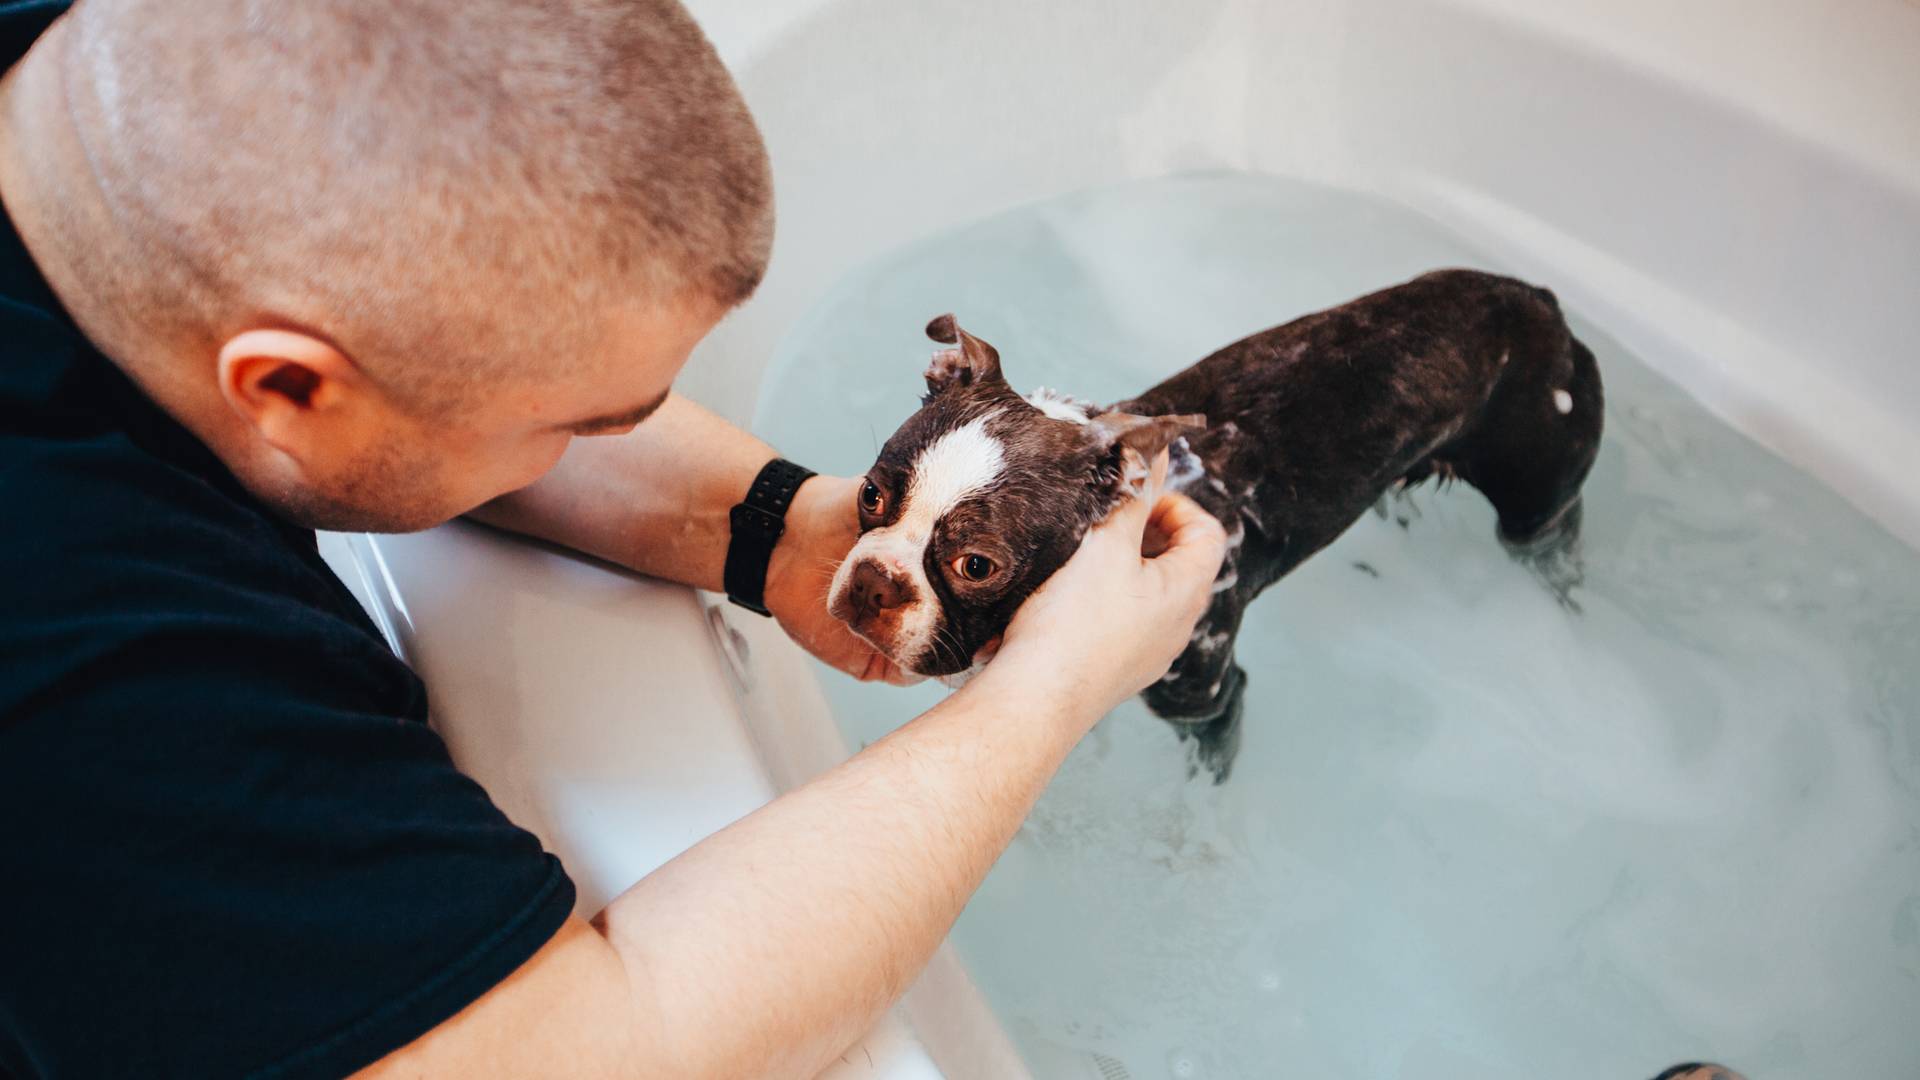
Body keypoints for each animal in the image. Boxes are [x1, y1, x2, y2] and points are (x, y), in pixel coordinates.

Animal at [825, 265, 1605, 776]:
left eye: (976, 565)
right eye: (871, 496)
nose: (873, 582)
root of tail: (1541, 300)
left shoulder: (1206, 698)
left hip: (1536, 495)